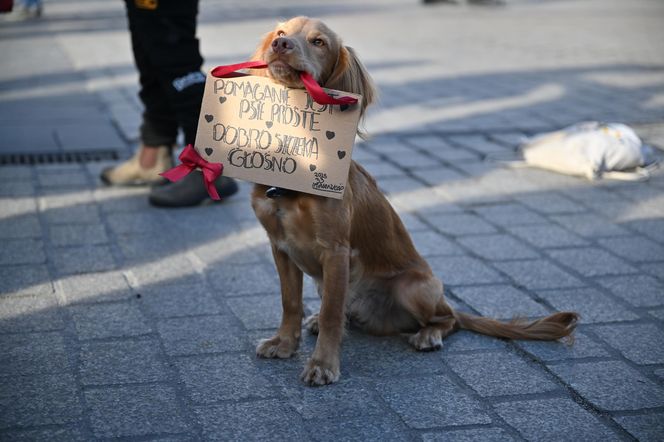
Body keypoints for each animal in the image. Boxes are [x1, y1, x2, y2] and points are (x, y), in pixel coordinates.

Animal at [249, 17, 576, 386]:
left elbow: (333, 313)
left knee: (448, 320)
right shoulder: (280, 247)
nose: (282, 45)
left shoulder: (335, 250)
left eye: (318, 42)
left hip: (414, 287)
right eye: (280, 33)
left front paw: (323, 364)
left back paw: (428, 335)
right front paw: (284, 343)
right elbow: (290, 303)